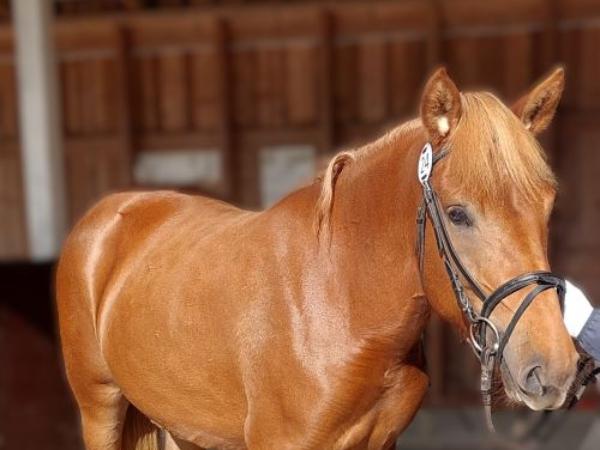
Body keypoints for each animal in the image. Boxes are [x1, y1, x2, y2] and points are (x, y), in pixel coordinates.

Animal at [56, 67, 579, 450]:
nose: (553, 369)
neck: (340, 302)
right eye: (457, 214)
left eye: (549, 206)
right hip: (99, 406)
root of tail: (110, 212)